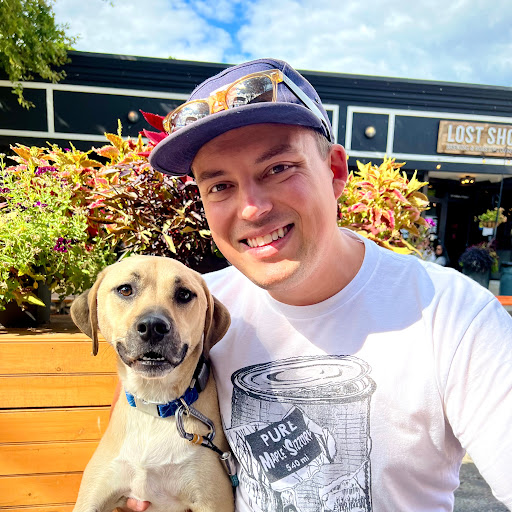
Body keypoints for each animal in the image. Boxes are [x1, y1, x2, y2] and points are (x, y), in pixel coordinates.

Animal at [70, 255, 235, 512]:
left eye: (184, 294)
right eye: (125, 289)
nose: (152, 327)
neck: (155, 401)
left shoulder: (212, 502)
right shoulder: (92, 498)